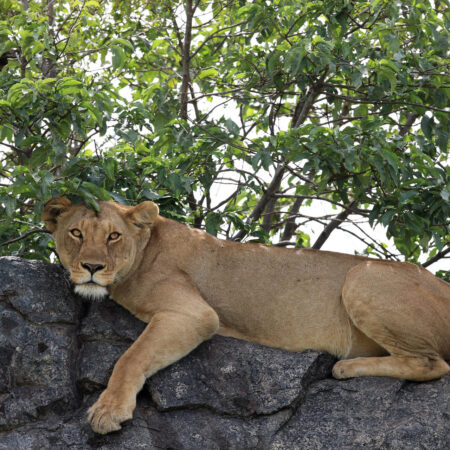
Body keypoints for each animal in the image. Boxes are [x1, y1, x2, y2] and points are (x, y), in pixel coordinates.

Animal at [41, 197, 450, 434]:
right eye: (76, 233)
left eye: (113, 236)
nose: (92, 267)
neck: (143, 250)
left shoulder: (194, 313)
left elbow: (130, 357)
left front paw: (107, 410)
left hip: (362, 276)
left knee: (433, 363)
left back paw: (347, 367)